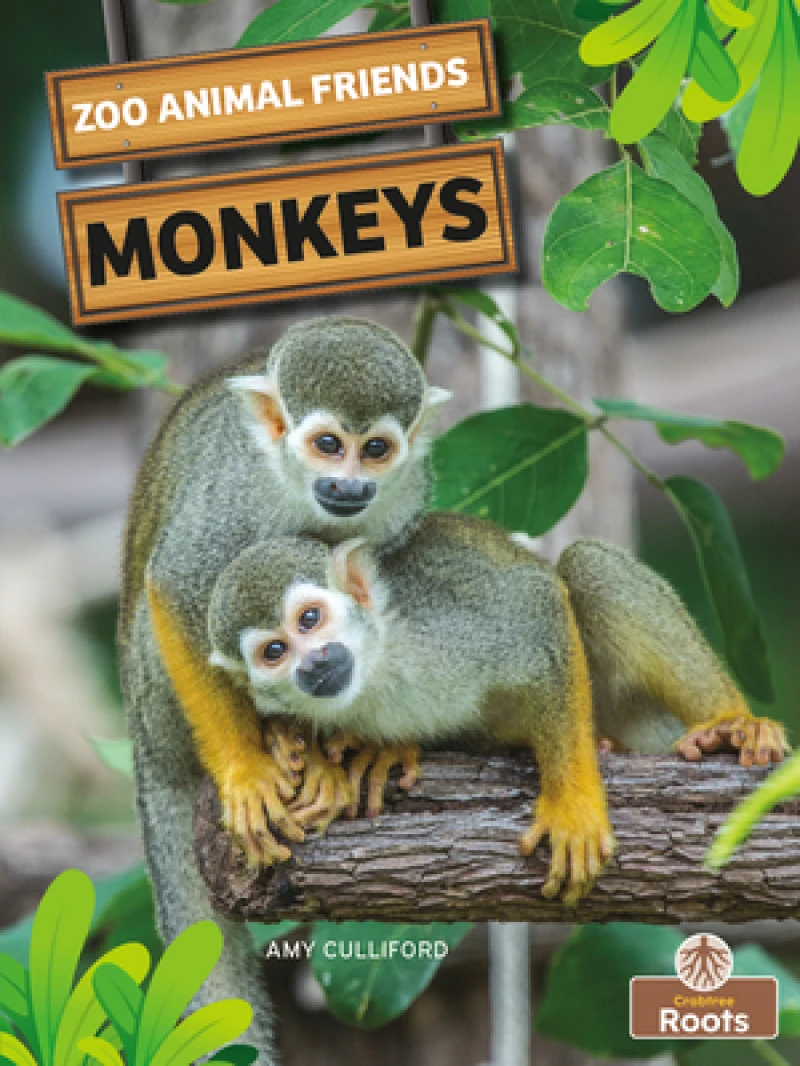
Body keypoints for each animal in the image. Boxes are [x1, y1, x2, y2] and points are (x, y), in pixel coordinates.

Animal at [117, 317, 450, 1061]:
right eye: (328, 444)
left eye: (375, 449)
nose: (348, 487)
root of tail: (143, 746)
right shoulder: (232, 492)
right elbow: (175, 589)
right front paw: (245, 771)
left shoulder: (404, 493)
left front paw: (367, 745)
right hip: (155, 701)